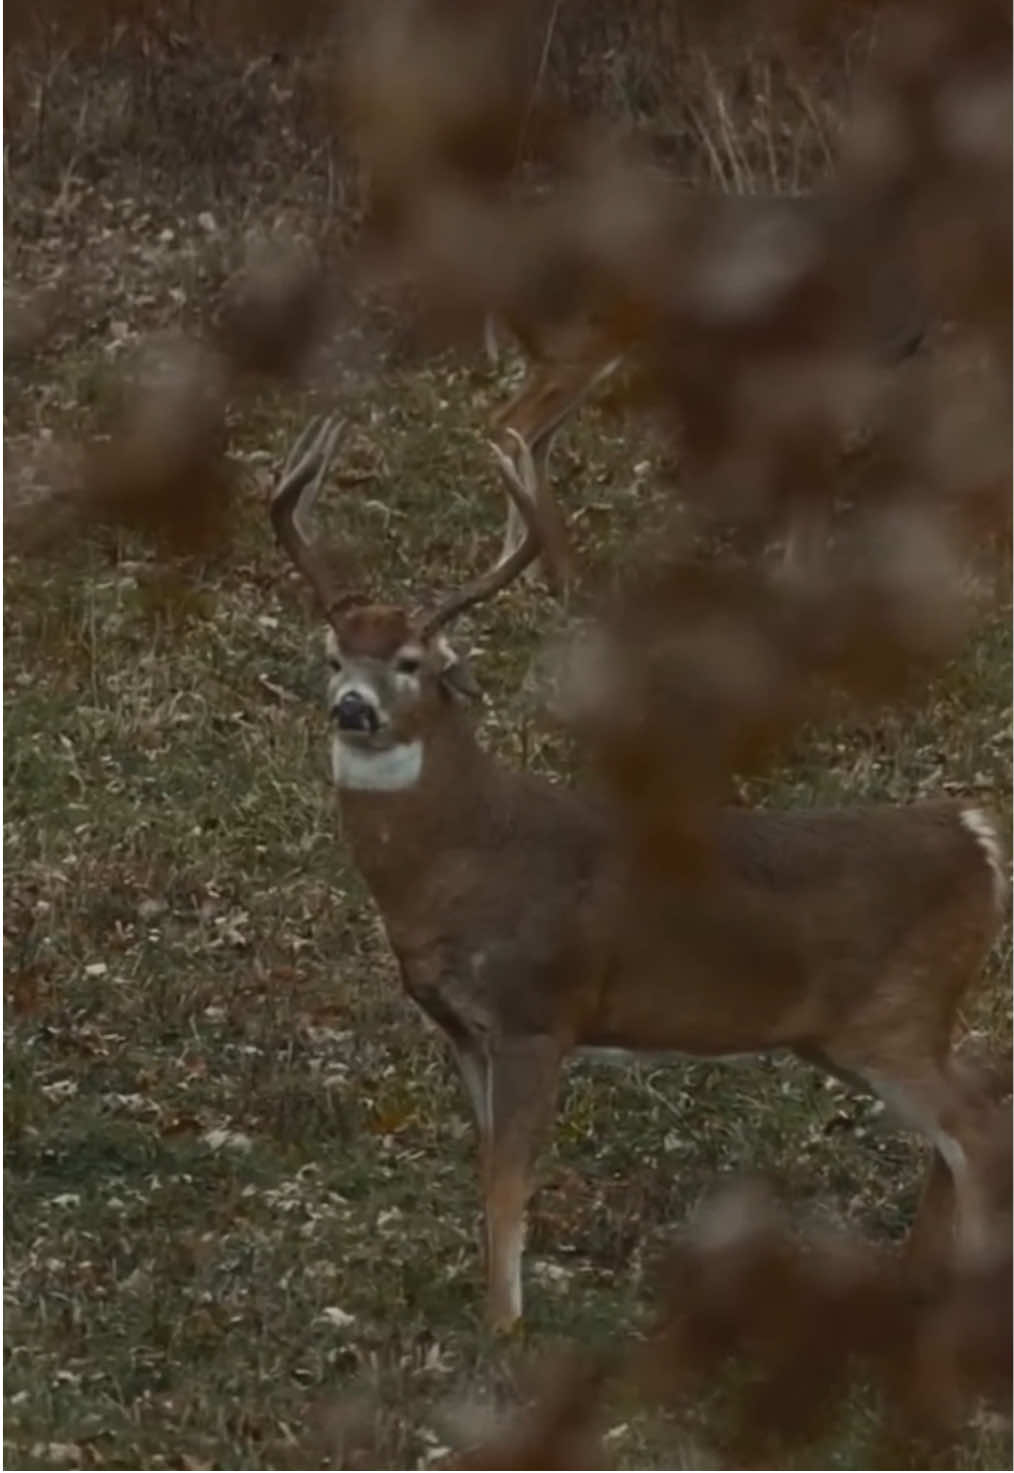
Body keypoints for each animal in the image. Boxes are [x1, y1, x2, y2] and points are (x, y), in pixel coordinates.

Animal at [270, 414, 1005, 1331]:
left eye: (411, 660)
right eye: (335, 655)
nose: (352, 707)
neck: (468, 854)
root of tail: (977, 840)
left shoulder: (539, 1014)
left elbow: (507, 1181)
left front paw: (505, 1329)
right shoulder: (463, 1028)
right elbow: (486, 1169)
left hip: (895, 1014)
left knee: (976, 1127)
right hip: (860, 1028)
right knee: (969, 1111)